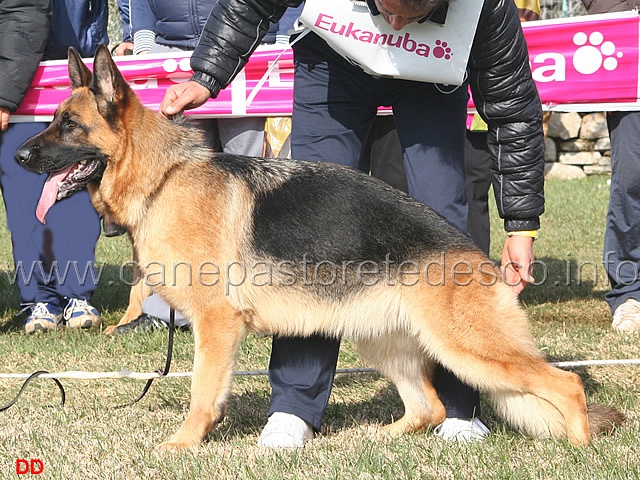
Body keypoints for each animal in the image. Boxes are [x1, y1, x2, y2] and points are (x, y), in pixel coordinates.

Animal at [16, 45, 624, 450]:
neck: (164, 177)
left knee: (566, 382)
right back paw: (374, 438)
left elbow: (201, 393)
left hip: (467, 348)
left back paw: (579, 448)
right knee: (426, 405)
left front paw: (184, 444)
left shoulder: (216, 324)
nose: (20, 157)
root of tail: (477, 256)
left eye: (68, 125)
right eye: (52, 119)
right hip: (381, 339)